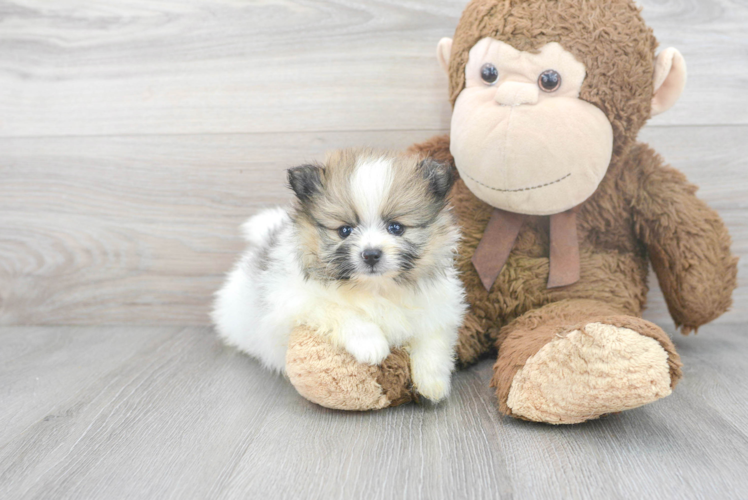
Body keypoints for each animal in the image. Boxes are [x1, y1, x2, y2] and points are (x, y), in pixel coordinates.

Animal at [213, 148, 464, 402]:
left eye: (396, 228)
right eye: (345, 230)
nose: (371, 254)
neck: (375, 288)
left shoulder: (438, 308)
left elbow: (433, 342)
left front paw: (433, 383)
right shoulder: (296, 300)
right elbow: (339, 310)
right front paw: (371, 344)